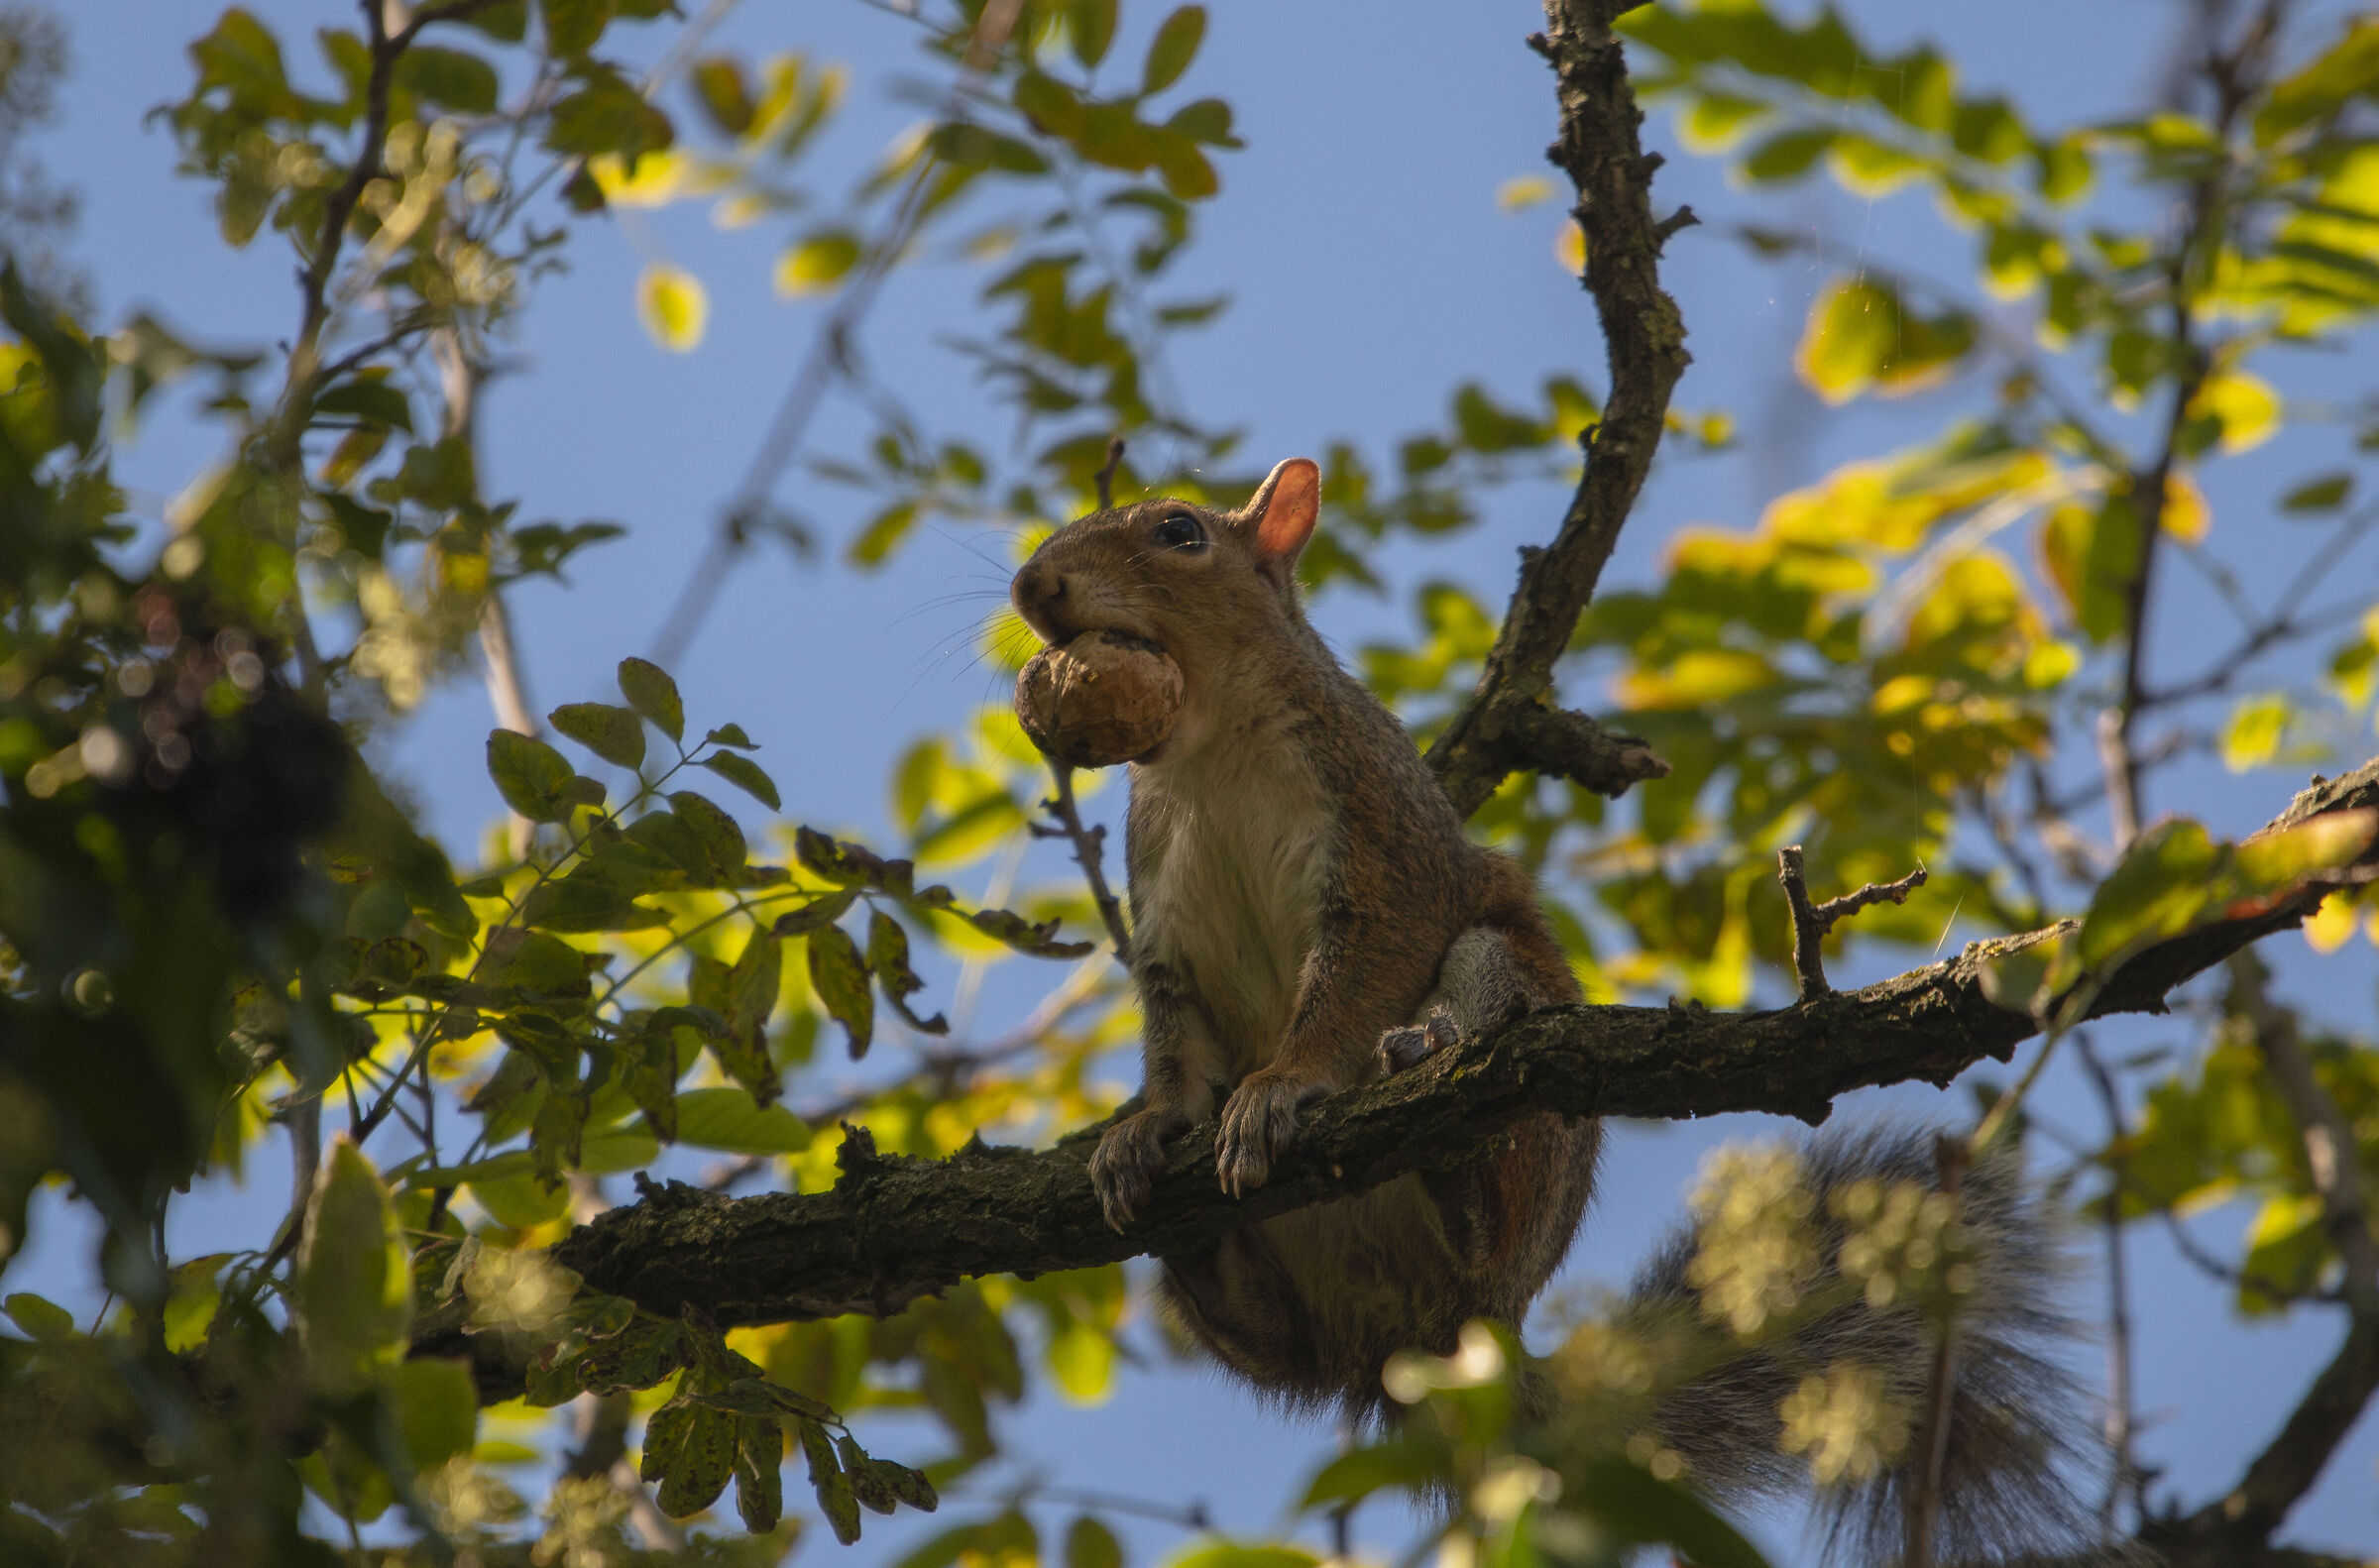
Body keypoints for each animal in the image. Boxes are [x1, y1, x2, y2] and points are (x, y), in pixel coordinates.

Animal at [1010, 458, 2098, 1563]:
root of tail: (1435, 1338)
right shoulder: (1165, 922)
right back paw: (1186, 1235)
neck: (1208, 746)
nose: (1032, 588)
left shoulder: (1385, 846)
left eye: (1181, 533)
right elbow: (1174, 1048)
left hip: (1505, 1044)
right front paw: (1149, 1123)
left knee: (1474, 1178)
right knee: (1262, 1327)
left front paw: (1280, 1087)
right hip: (1277, 1307)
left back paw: (1444, 1131)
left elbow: (1354, 985)